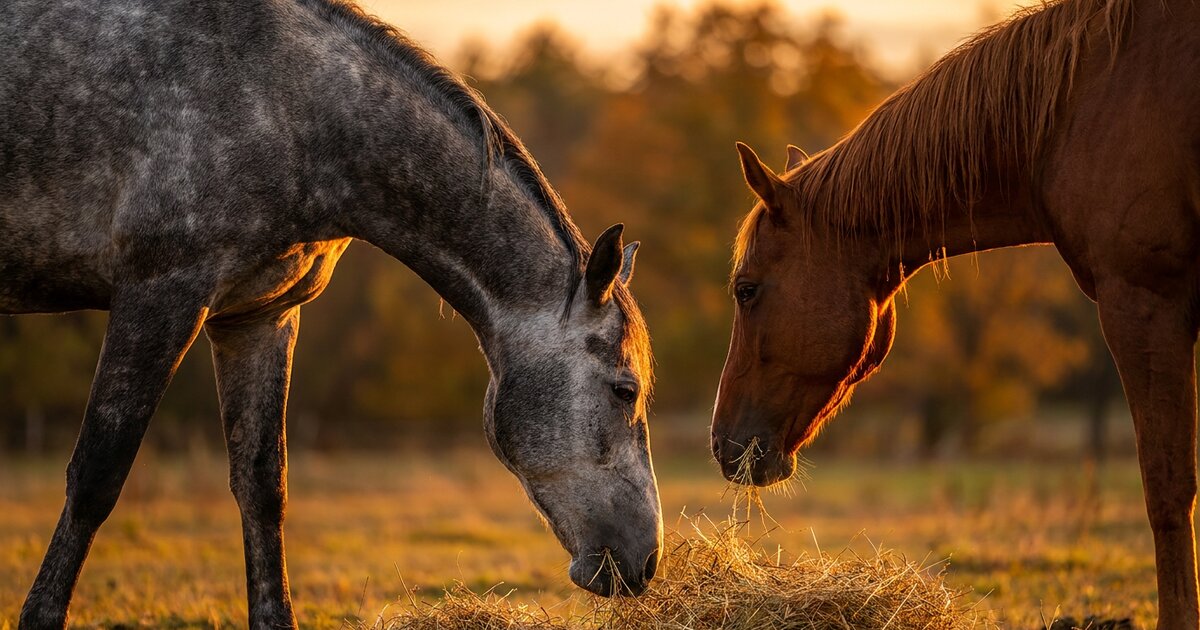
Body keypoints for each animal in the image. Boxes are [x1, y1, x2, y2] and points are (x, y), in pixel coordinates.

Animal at [1, 1, 662, 627]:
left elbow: (263, 485)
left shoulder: (258, 317)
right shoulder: (160, 294)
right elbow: (97, 474)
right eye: (624, 389)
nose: (645, 562)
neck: (285, 103)